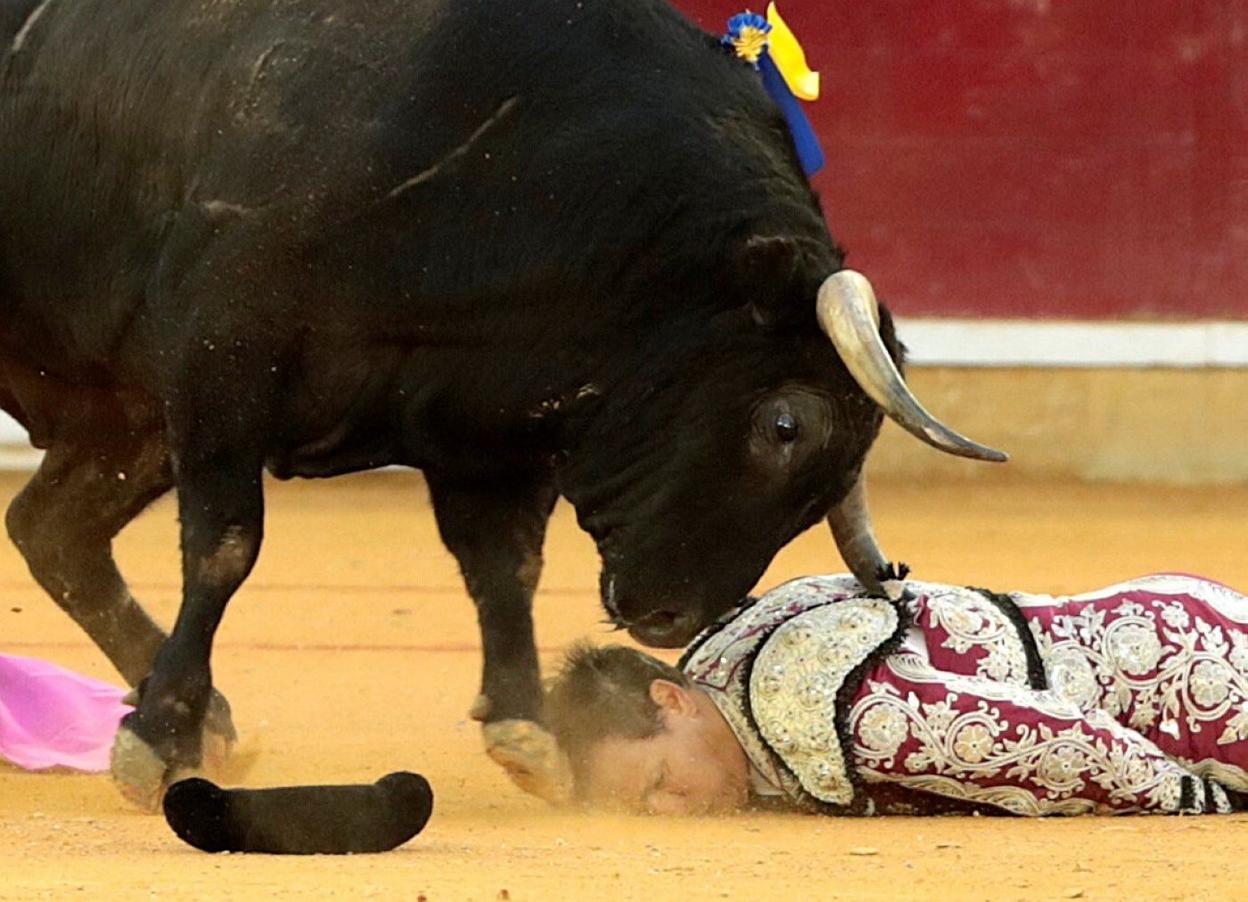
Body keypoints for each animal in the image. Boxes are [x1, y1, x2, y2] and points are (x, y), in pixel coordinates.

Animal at [0, 0, 998, 803]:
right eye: (785, 423)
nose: (673, 617)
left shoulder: (488, 428)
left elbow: (505, 566)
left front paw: (528, 732)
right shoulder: (221, 366)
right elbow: (226, 547)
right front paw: (159, 741)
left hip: (124, 417)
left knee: (53, 529)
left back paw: (212, 719)